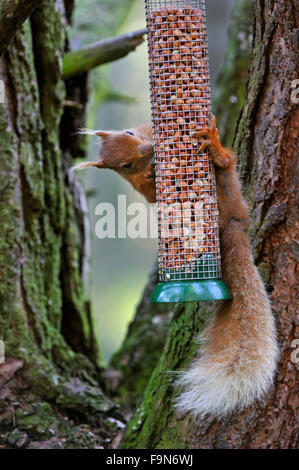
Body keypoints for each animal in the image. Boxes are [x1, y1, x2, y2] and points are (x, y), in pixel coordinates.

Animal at [73, 118, 278, 418]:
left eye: (130, 132)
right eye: (126, 165)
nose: (149, 150)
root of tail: (234, 223)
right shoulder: (141, 187)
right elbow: (151, 194)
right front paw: (150, 176)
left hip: (226, 183)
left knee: (226, 162)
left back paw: (213, 144)